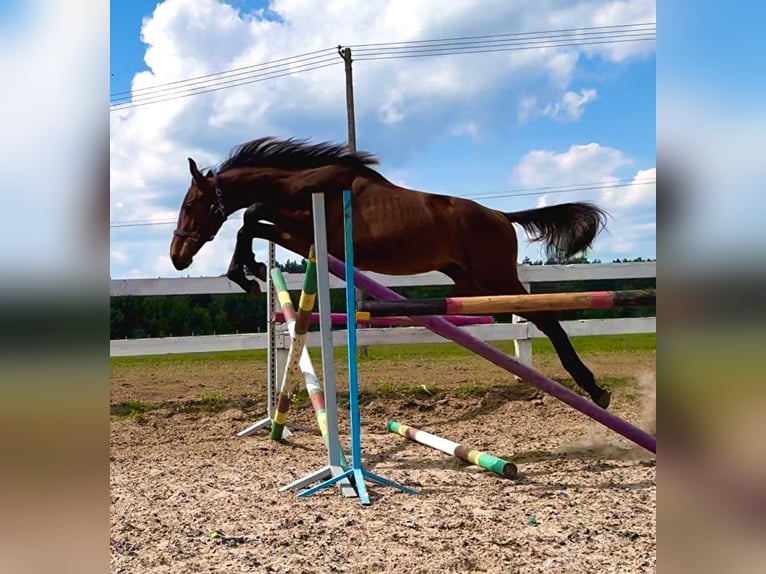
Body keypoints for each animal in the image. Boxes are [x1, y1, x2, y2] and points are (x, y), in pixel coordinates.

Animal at [170, 138, 612, 410]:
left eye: (191, 205)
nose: (177, 258)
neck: (302, 182)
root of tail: (503, 216)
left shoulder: (305, 229)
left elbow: (251, 215)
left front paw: (246, 271)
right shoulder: (301, 237)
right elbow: (252, 219)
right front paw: (251, 269)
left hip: (497, 276)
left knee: (547, 318)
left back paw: (593, 387)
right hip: (471, 283)